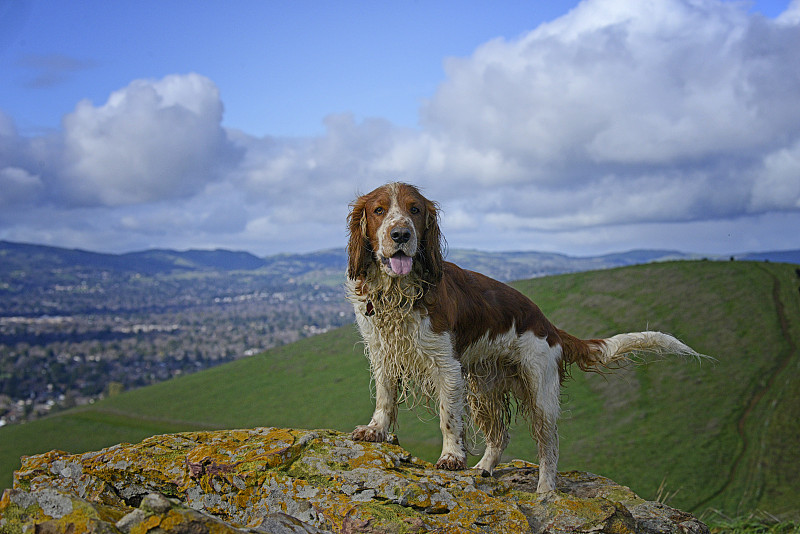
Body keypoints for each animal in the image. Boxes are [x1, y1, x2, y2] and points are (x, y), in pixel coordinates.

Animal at [344, 183, 700, 494]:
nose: (401, 234)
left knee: (549, 448)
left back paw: (545, 491)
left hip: (540, 393)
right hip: (483, 389)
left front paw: (452, 457)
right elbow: (385, 398)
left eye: (415, 210)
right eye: (379, 210)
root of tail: (550, 326)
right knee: (500, 436)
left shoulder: (447, 366)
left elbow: (449, 418)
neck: (399, 293)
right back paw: (484, 468)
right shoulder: (383, 352)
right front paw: (376, 429)